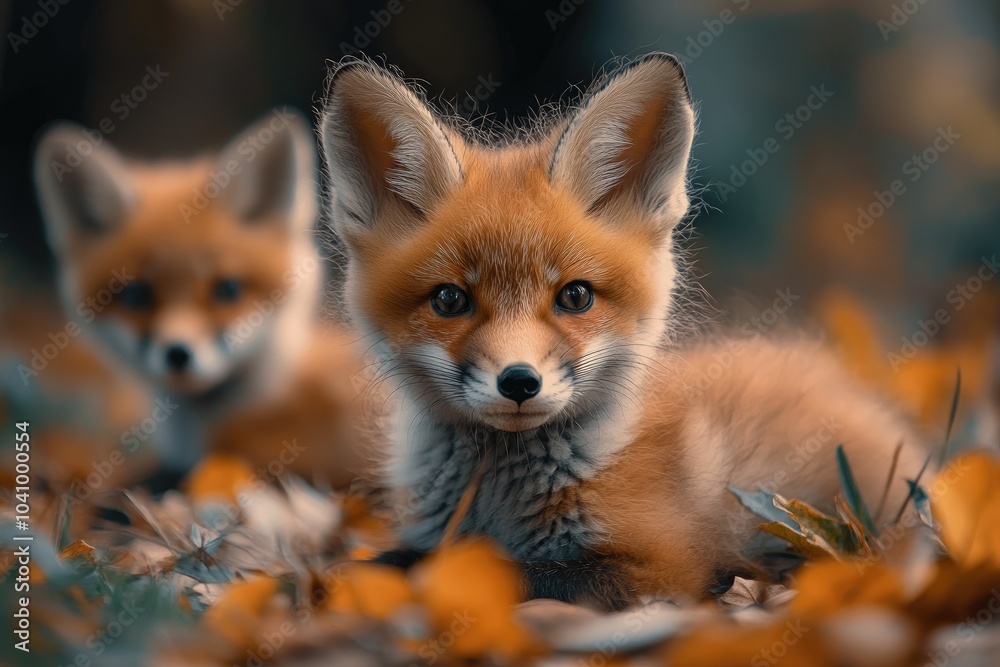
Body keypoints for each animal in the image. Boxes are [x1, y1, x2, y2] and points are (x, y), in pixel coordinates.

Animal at [319, 55, 930, 609]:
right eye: (450, 300)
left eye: (575, 296)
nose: (519, 383)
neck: (498, 498)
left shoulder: (663, 567)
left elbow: (503, 571)